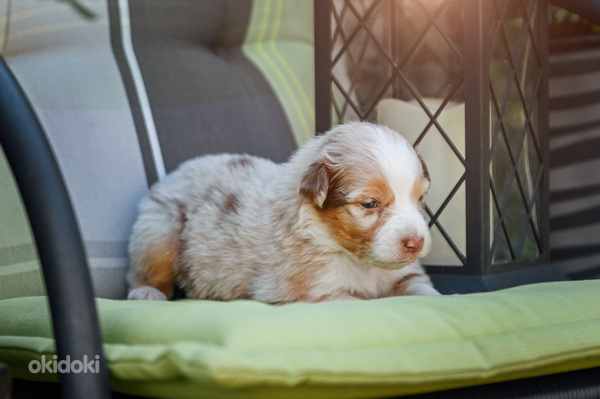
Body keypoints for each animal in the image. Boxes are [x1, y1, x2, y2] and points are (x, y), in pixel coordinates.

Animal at [126, 122, 440, 304]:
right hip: (158, 228)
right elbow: (349, 300)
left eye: (420, 198)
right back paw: (146, 292)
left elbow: (423, 291)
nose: (416, 243)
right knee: (147, 269)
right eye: (370, 204)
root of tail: (177, 172)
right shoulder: (310, 291)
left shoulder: (405, 275)